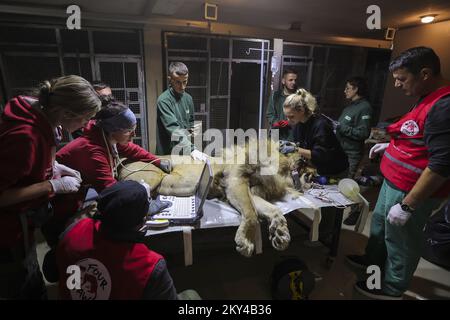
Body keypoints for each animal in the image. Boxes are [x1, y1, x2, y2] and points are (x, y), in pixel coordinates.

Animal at [119, 140, 316, 258]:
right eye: (310, 172)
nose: (315, 179)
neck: (283, 172)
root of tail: (123, 162)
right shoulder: (235, 180)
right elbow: (251, 214)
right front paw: (245, 242)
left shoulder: (251, 190)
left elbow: (273, 210)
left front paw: (280, 234)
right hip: (151, 177)